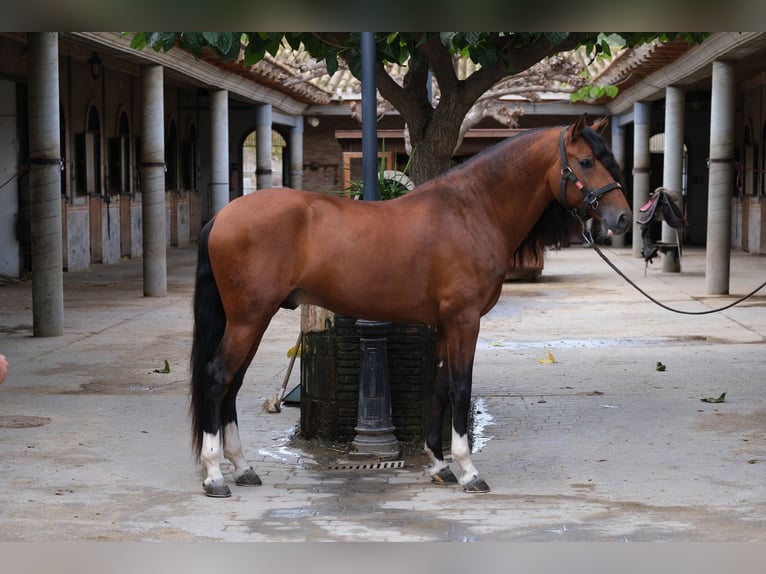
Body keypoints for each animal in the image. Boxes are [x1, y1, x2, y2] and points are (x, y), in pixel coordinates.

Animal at [189, 113, 632, 500]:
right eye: (587, 161)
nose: (624, 218)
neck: (470, 210)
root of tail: (221, 217)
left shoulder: (445, 323)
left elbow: (439, 386)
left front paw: (440, 465)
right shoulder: (464, 320)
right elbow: (460, 387)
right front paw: (468, 470)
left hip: (249, 319)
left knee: (232, 384)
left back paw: (242, 467)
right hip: (248, 318)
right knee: (217, 378)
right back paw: (214, 476)